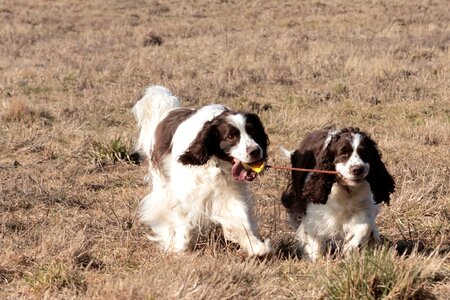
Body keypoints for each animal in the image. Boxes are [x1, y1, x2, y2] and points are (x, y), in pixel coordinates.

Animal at [132, 85, 272, 256]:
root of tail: (169, 110)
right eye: (231, 136)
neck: (214, 164)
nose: (255, 151)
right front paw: (179, 248)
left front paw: (256, 246)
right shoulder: (184, 193)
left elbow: (242, 218)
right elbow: (182, 221)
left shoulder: (230, 192)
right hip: (162, 184)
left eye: (253, 132)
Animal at [282, 127, 394, 262]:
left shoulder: (364, 207)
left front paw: (350, 248)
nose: (357, 169)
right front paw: (317, 260)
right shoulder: (314, 214)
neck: (346, 189)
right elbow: (313, 238)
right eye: (342, 153)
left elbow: (365, 227)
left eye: (365, 153)